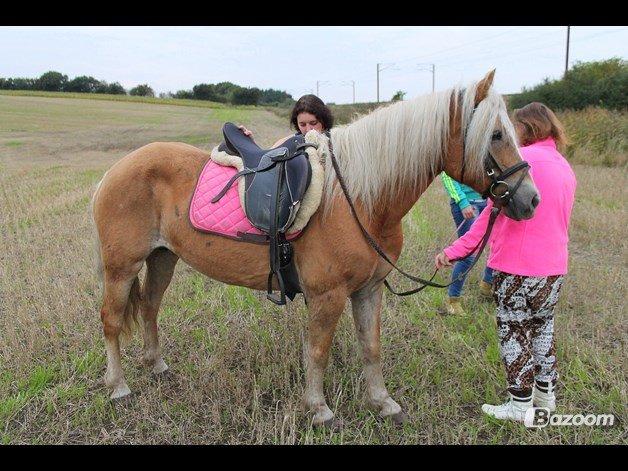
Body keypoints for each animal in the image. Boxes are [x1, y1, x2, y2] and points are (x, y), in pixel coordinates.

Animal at [91, 70, 536, 428]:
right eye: (497, 134)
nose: (530, 199)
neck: (359, 198)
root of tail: (114, 171)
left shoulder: (368, 290)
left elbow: (371, 347)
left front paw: (383, 403)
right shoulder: (327, 295)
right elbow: (318, 350)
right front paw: (319, 409)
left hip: (162, 258)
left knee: (149, 308)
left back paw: (156, 365)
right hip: (121, 266)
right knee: (111, 320)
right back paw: (118, 386)